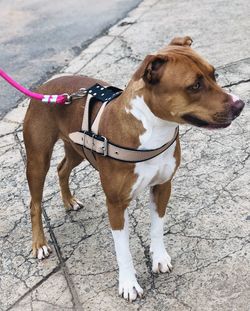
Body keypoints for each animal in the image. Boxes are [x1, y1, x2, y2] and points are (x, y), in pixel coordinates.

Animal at [23, 36, 244, 302]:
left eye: (215, 74)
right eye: (194, 86)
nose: (240, 105)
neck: (155, 129)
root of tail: (46, 88)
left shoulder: (163, 186)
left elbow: (157, 228)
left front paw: (159, 258)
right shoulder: (116, 205)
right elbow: (123, 250)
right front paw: (128, 284)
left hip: (77, 149)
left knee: (62, 169)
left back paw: (69, 200)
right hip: (38, 159)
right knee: (35, 202)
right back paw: (40, 244)